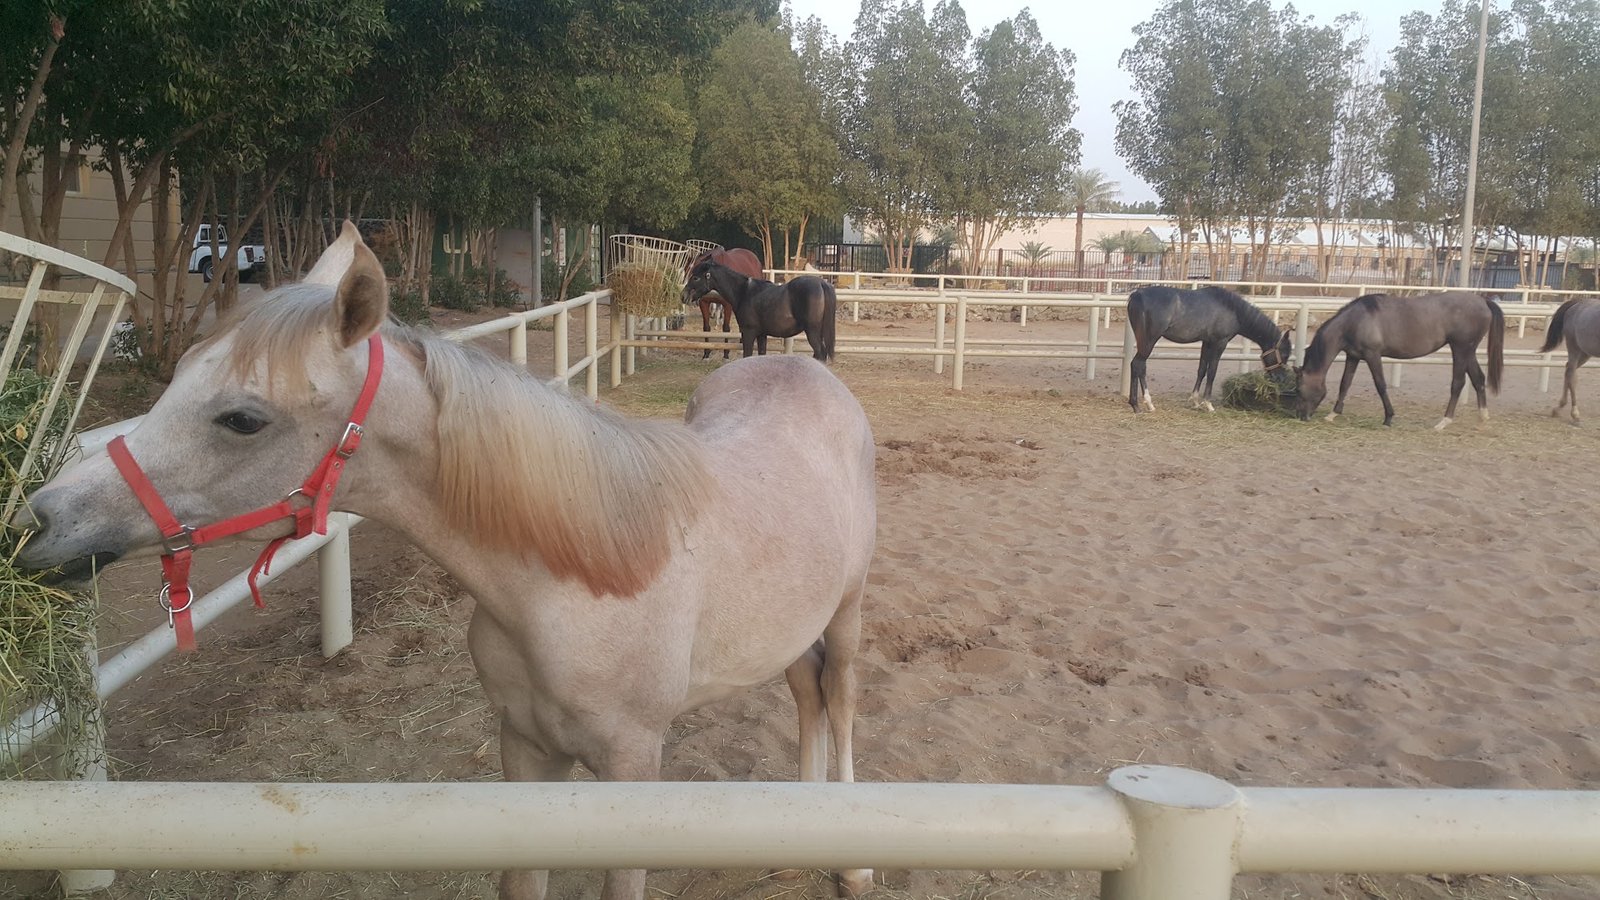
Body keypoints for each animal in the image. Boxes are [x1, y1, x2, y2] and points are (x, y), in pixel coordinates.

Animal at [685, 260, 838, 362]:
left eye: (695, 277)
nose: (683, 295)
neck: (744, 292)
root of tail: (821, 283)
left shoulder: (748, 332)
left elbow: (747, 354)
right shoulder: (762, 334)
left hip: (812, 331)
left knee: (820, 353)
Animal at [1125, 285, 1293, 413]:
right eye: (1284, 354)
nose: (1281, 378)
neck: (1232, 309)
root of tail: (1136, 296)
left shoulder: (1207, 343)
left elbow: (1202, 370)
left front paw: (1195, 401)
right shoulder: (1220, 343)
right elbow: (1212, 372)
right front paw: (1208, 404)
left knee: (1140, 366)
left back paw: (1143, 404)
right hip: (1149, 341)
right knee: (1137, 364)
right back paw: (1140, 404)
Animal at [1294, 290, 1504, 429]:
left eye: (1300, 390)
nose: (1302, 416)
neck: (1355, 320)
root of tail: (1484, 301)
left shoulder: (1372, 355)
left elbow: (1380, 385)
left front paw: (1388, 418)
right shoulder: (1353, 356)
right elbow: (1345, 384)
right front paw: (1333, 414)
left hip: (1460, 349)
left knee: (1458, 383)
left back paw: (1444, 422)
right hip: (1468, 351)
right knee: (1478, 379)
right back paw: (1483, 416)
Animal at [1538, 296, 1600, 424]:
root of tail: (1576, 304)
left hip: (1585, 352)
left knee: (1568, 370)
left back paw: (1558, 408)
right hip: (1574, 347)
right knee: (1570, 374)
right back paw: (1574, 414)